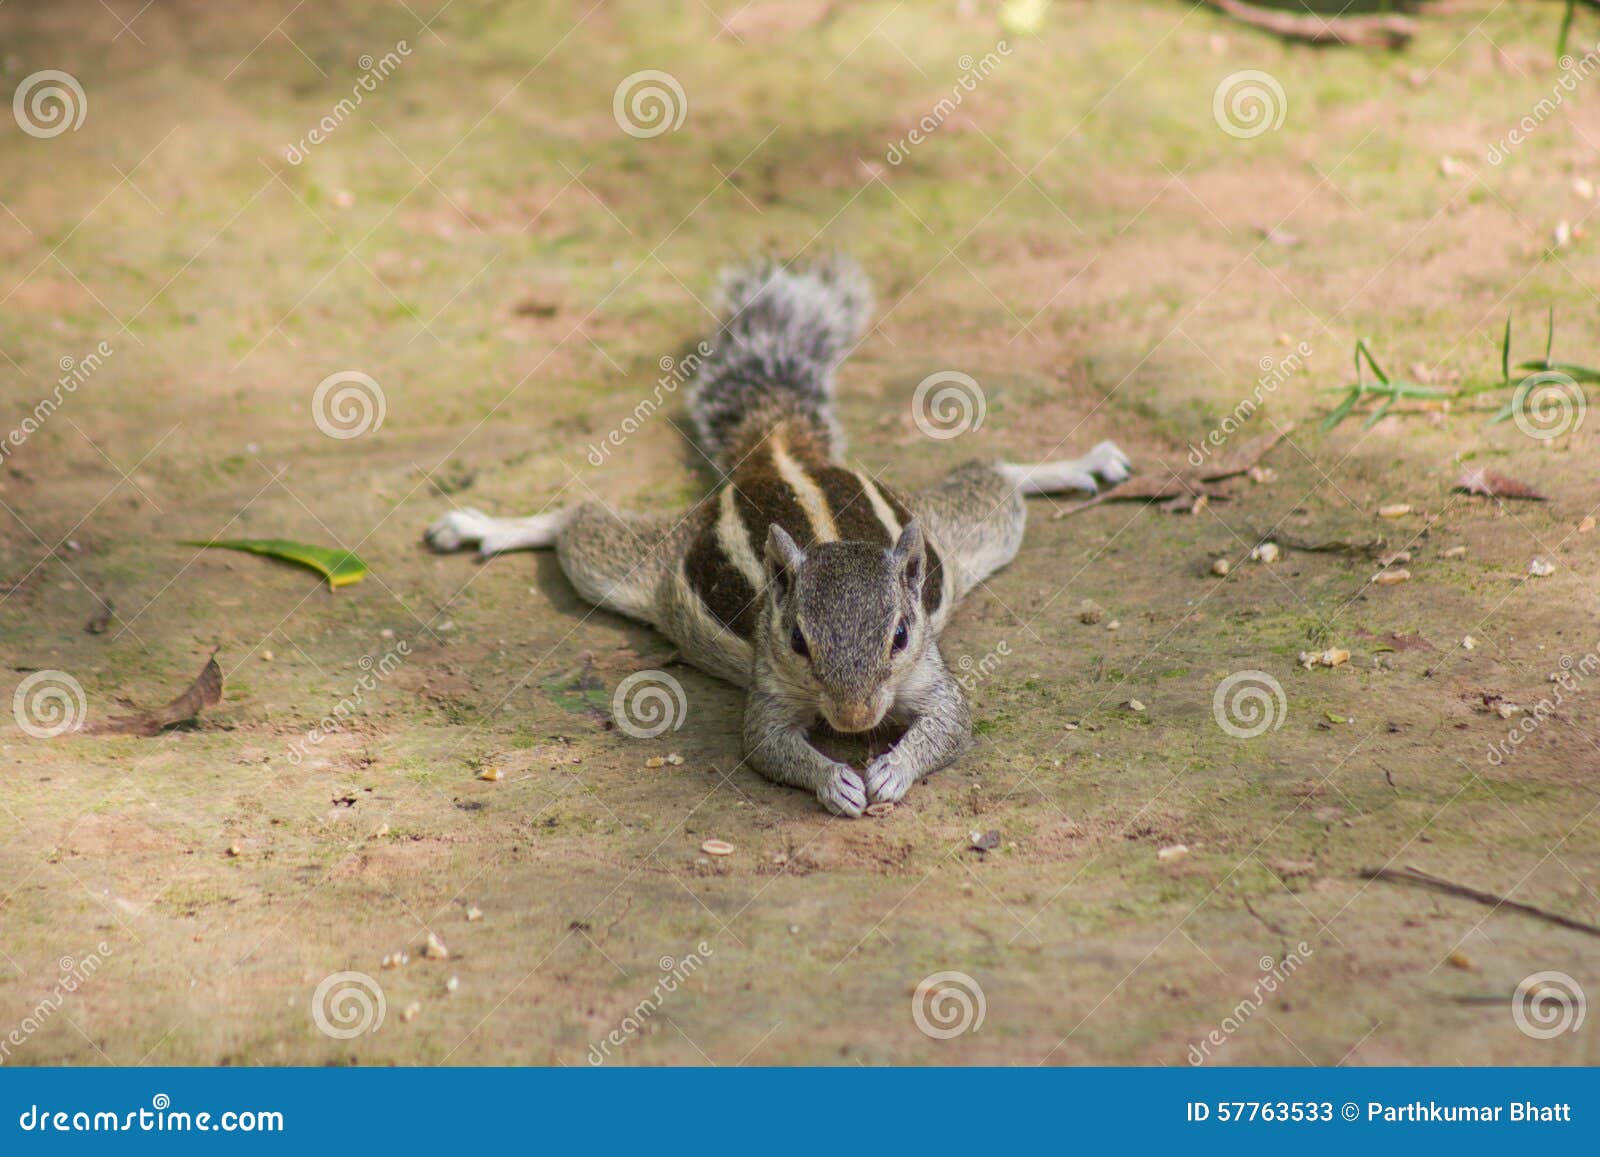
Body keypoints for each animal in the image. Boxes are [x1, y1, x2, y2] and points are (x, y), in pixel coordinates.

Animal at [426, 257, 1131, 816]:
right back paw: (487, 525)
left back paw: (1077, 463)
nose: (853, 721)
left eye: (900, 636)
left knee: (993, 479)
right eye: (797, 640)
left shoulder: (930, 675)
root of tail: (778, 453)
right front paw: (833, 779)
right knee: (577, 523)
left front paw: (893, 768)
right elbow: (767, 746)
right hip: (639, 570)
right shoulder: (768, 689)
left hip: (962, 538)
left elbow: (950, 727)